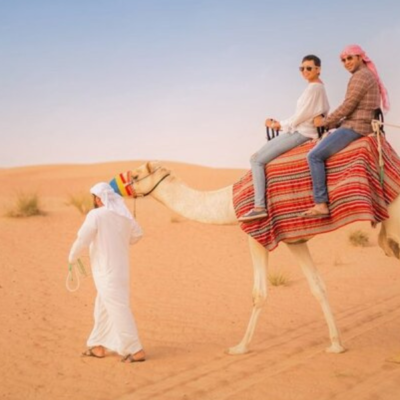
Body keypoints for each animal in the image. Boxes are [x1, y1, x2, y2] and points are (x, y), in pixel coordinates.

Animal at [126, 161, 398, 354]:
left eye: (136, 176)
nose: (124, 186)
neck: (229, 202)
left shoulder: (256, 235)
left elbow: (259, 294)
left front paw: (240, 347)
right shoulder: (294, 239)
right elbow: (317, 286)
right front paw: (336, 344)